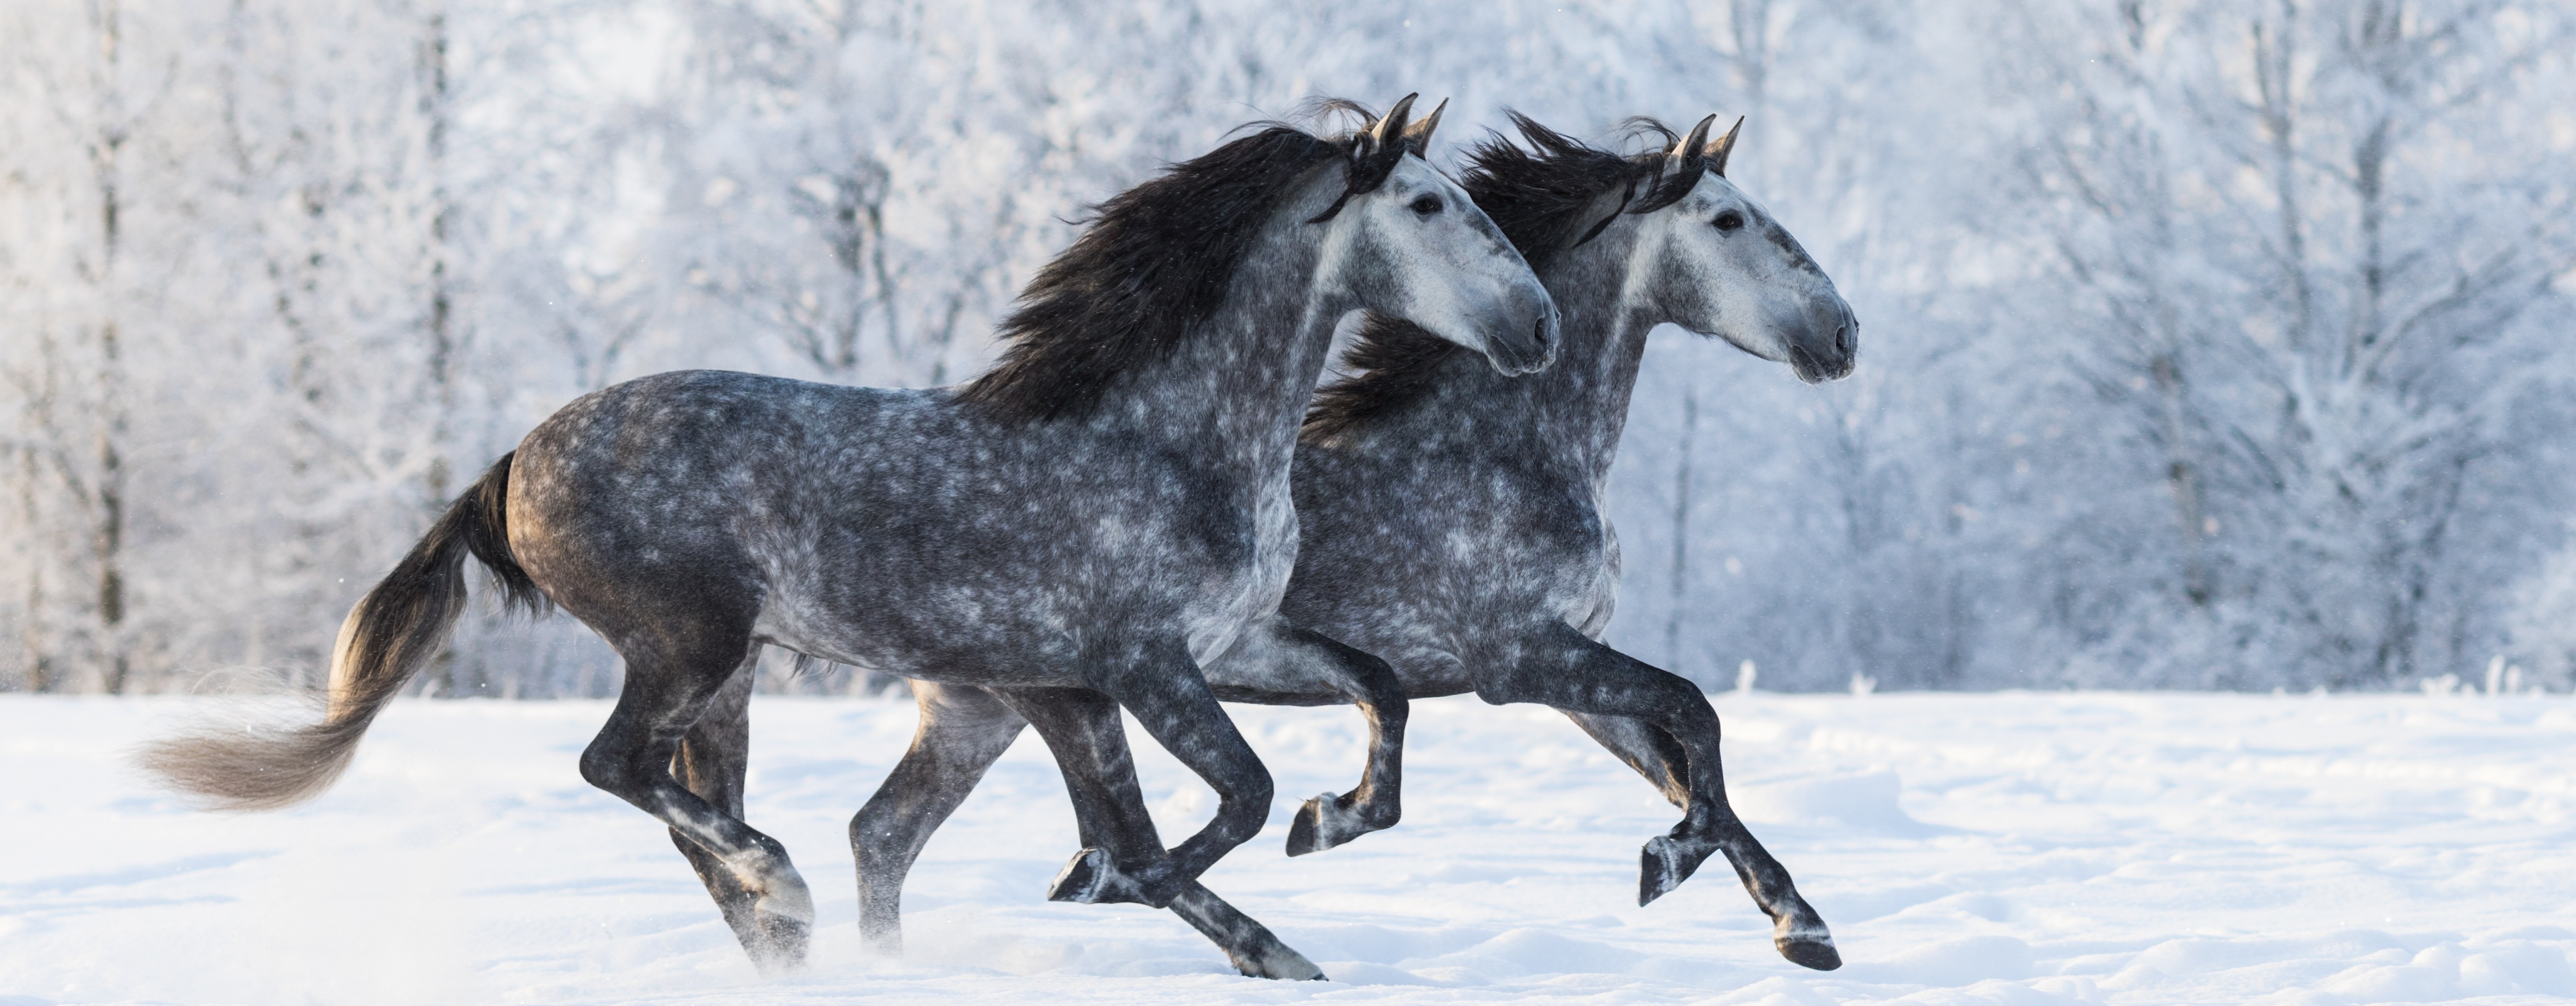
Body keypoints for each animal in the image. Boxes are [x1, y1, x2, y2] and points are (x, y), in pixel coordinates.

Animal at [140, 95, 1559, 976]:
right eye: (1427, 207)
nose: (1538, 327)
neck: (1169, 439)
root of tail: (511, 465)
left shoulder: (1214, 646)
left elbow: (1375, 695)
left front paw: (1329, 835)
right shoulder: (1137, 664)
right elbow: (1206, 814)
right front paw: (1132, 888)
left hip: (731, 678)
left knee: (696, 806)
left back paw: (785, 929)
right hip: (690, 642)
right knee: (623, 769)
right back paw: (784, 887)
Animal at [853, 112, 1857, 975]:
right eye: (1729, 220)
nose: (1843, 333)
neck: (1504, 451)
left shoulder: (1569, 668)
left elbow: (1685, 770)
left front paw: (1800, 928)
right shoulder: (1523, 659)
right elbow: (1698, 719)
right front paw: (1680, 869)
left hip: (986, 709)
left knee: (886, 836)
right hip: (1059, 696)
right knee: (1087, 836)